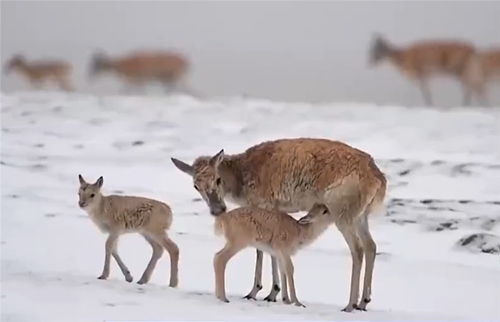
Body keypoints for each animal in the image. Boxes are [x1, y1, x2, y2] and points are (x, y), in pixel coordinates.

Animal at [172, 137, 386, 310]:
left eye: (217, 179)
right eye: (195, 185)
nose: (217, 210)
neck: (240, 182)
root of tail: (380, 181)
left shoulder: (265, 203)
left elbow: (261, 251)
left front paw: (260, 291)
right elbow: (273, 252)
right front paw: (277, 294)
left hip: (342, 212)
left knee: (357, 249)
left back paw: (350, 304)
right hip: (360, 215)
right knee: (371, 246)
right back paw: (364, 301)